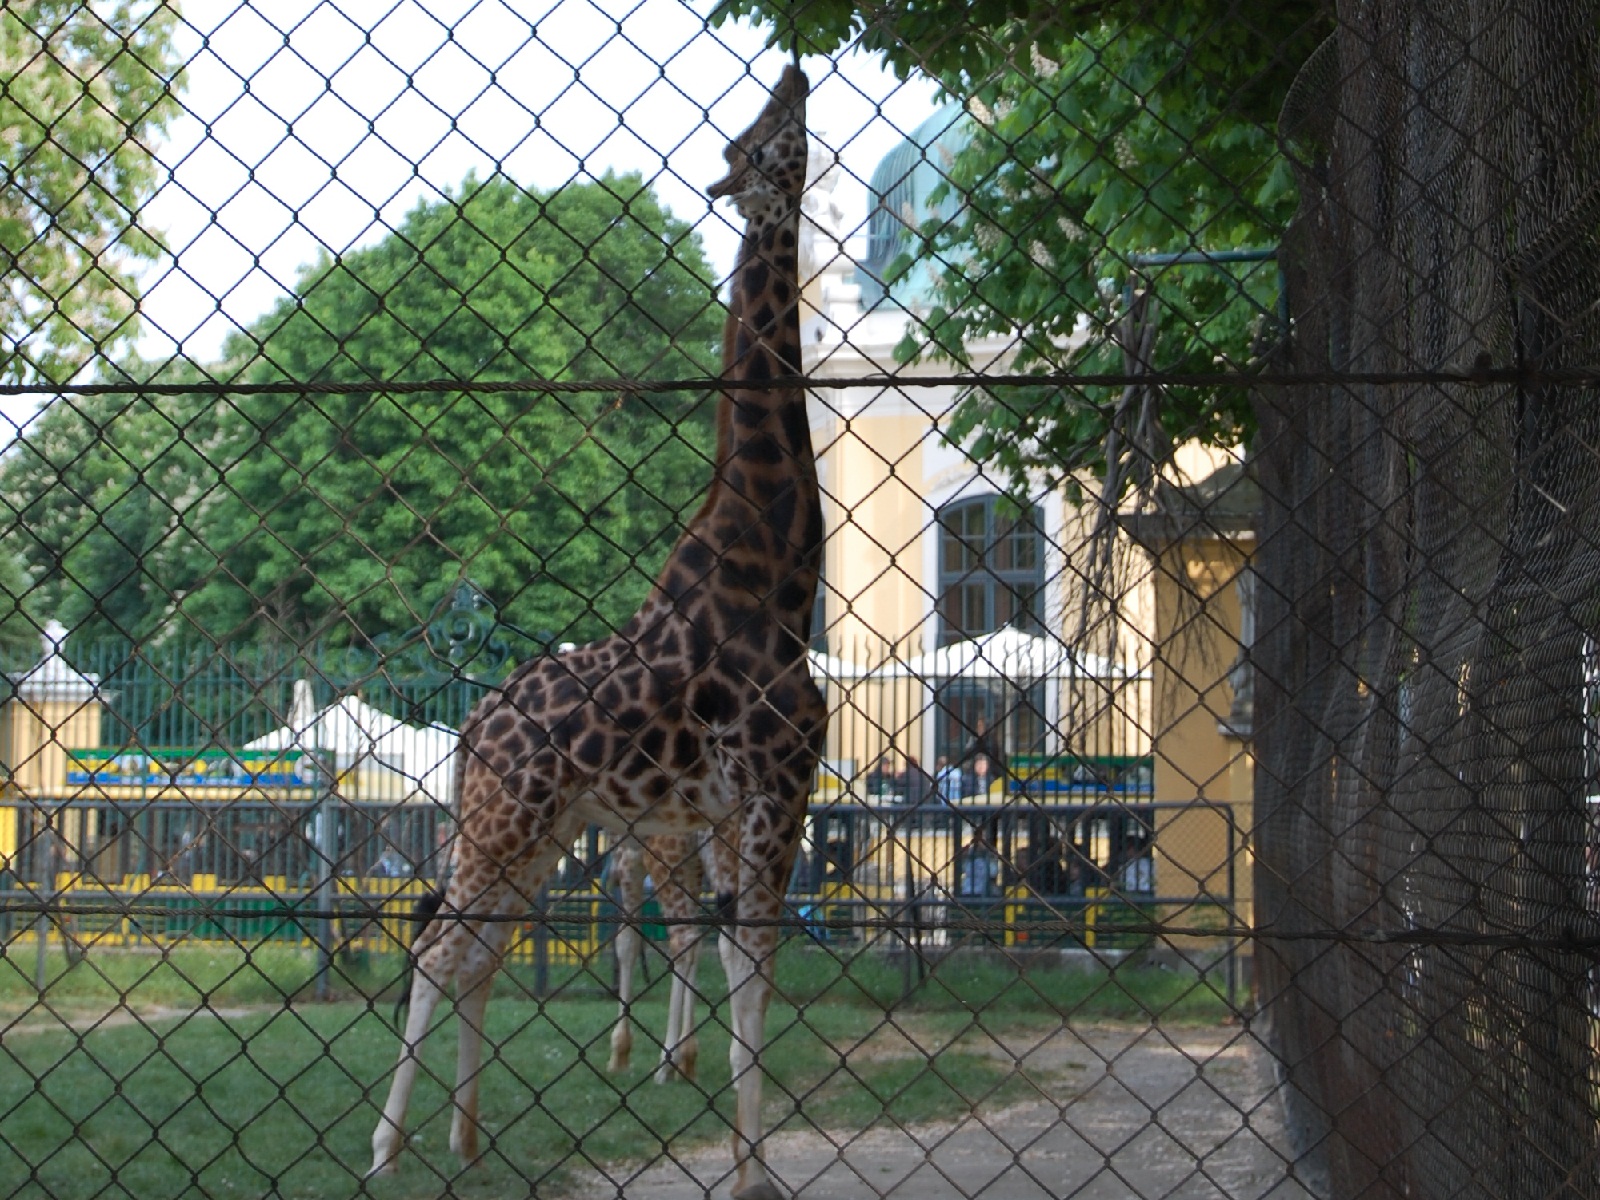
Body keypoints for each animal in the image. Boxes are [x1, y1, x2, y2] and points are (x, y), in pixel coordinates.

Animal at [371, 68, 825, 1200]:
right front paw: (752, 1172)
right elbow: (753, 976)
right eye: (757, 140)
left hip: (534, 831)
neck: (780, 573)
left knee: (476, 952)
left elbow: (742, 970)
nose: (795, 69)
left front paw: (740, 1147)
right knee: (438, 948)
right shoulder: (771, 791)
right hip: (507, 822)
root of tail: (471, 730)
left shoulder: (741, 809)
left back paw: (465, 1139)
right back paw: (386, 1146)